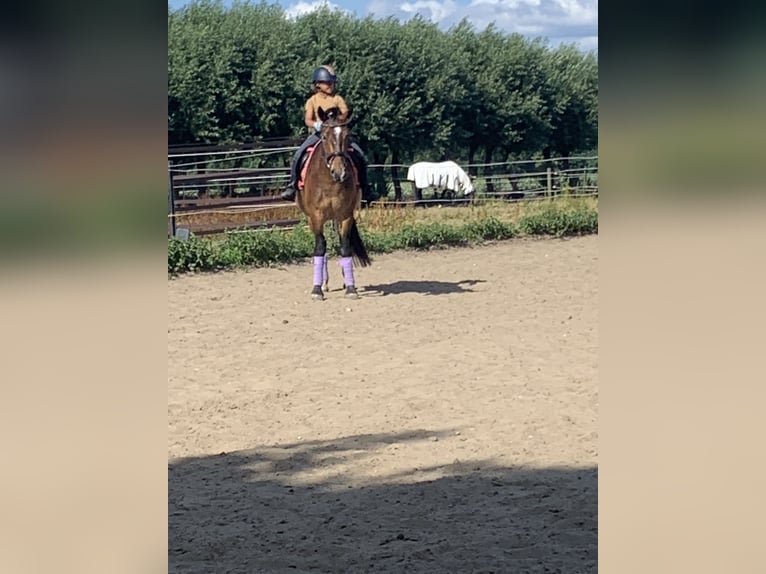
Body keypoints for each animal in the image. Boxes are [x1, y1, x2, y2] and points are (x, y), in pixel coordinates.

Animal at [295, 105, 371, 300]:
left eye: (347, 136)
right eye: (323, 136)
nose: (339, 172)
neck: (330, 182)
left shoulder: (345, 215)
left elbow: (345, 247)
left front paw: (351, 288)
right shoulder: (316, 217)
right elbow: (320, 248)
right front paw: (317, 289)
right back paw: (324, 283)